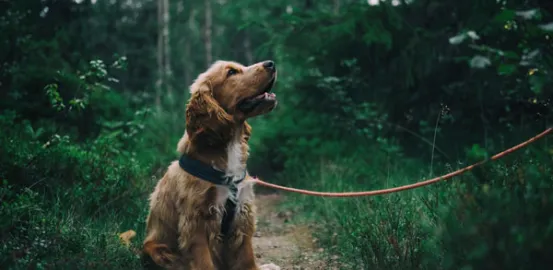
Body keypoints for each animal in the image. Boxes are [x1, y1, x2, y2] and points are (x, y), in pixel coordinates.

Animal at [142, 60, 280, 268]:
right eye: (231, 72)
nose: (271, 63)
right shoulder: (196, 221)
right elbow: (204, 262)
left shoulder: (242, 214)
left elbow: (247, 258)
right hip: (160, 251)